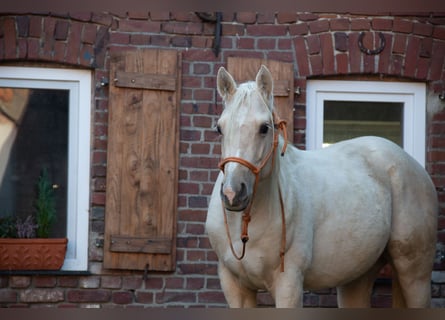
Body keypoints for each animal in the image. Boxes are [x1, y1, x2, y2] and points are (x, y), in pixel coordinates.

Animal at [206, 65, 438, 308]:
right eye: (220, 128)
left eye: (264, 128)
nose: (233, 193)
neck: (245, 224)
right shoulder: (235, 287)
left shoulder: (288, 284)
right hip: (358, 275)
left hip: (414, 272)